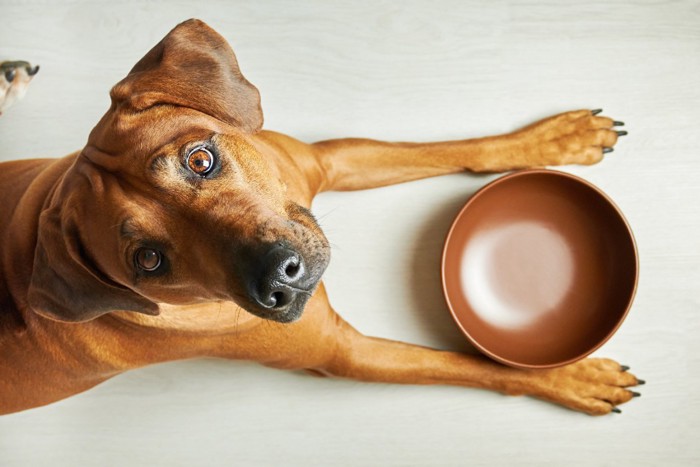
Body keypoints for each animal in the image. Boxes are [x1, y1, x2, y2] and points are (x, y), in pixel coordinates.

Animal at [0, 18, 640, 414]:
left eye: (200, 160)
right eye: (149, 261)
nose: (277, 278)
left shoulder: (323, 161)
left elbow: (454, 148)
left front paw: (555, 138)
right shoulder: (347, 355)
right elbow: (474, 366)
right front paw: (570, 377)